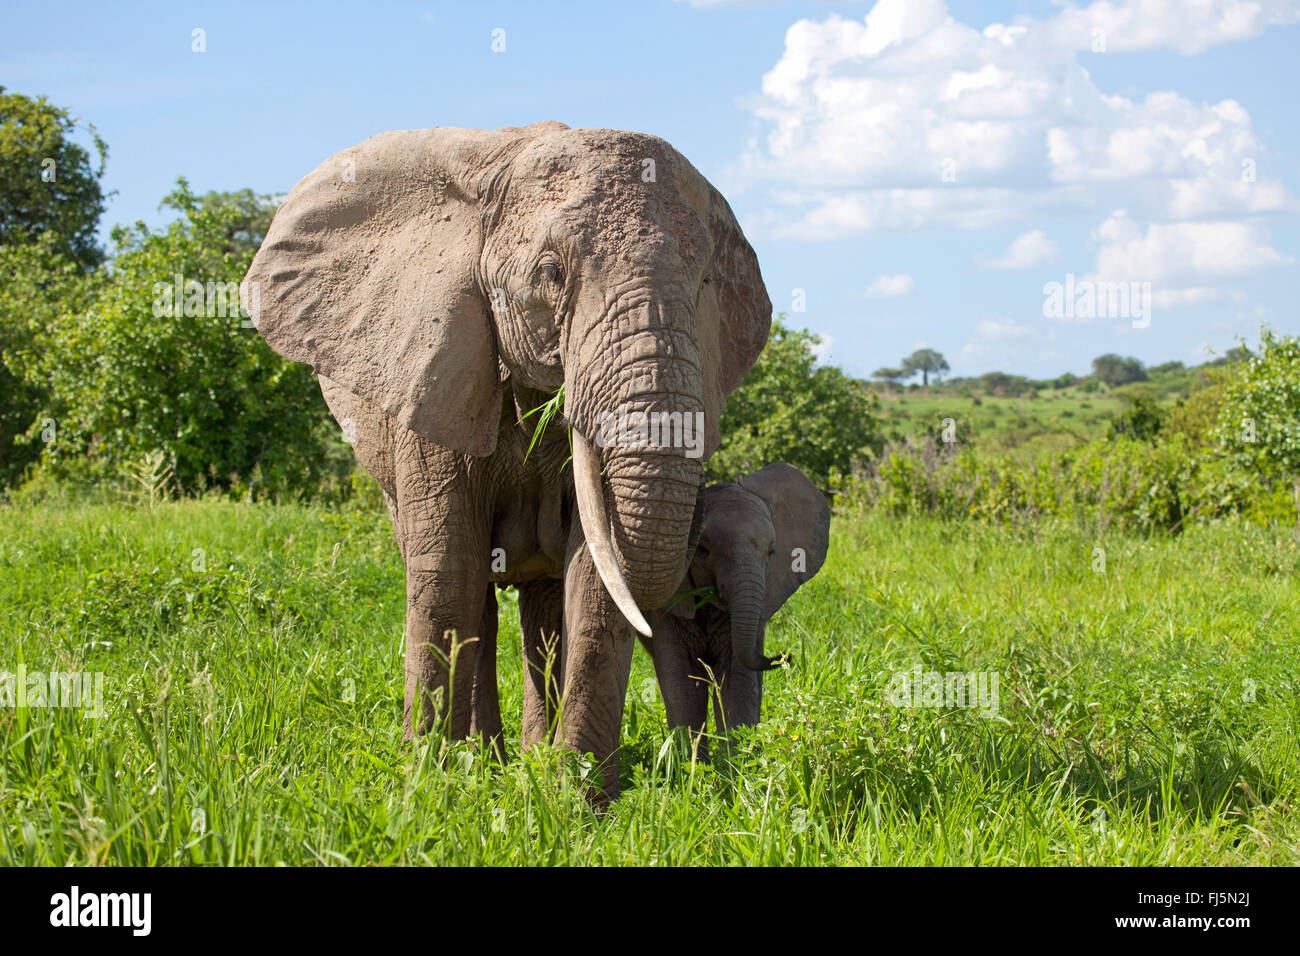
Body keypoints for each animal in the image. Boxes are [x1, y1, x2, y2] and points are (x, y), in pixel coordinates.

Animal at [241, 123, 769, 806]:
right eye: (550, 274)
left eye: (705, 281)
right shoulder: (436, 368)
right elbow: (447, 574)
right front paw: (427, 790)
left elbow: (595, 580)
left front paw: (578, 802)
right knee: (473, 597)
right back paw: (484, 761)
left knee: (541, 617)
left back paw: (526, 759)